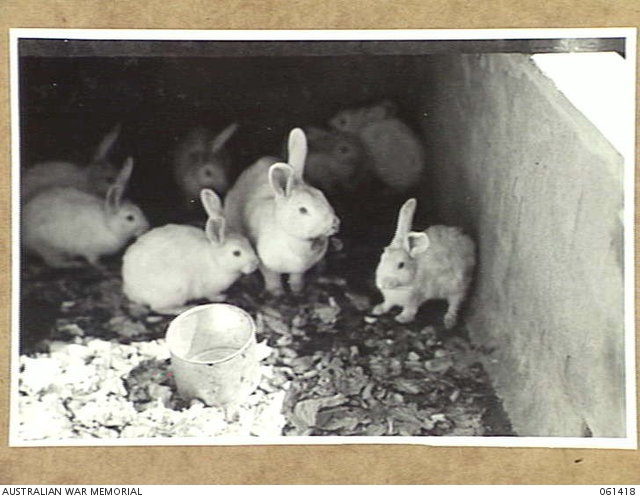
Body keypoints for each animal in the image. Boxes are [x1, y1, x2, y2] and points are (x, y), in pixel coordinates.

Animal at [21, 157, 150, 269]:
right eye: (130, 218)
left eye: (139, 210)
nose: (146, 227)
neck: (108, 225)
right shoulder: (90, 250)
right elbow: (93, 260)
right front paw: (101, 267)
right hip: (48, 247)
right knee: (54, 262)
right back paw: (74, 264)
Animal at [121, 189, 259, 315]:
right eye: (236, 253)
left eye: (248, 242)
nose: (255, 264)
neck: (216, 260)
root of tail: (131, 290)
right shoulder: (209, 288)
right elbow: (211, 295)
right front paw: (221, 297)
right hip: (175, 290)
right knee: (158, 308)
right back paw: (183, 308)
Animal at [224, 128, 340, 296]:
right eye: (302, 210)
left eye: (323, 196)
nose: (334, 224)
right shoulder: (265, 262)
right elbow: (271, 276)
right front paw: (276, 292)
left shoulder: (300, 269)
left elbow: (297, 277)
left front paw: (297, 290)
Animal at [372, 198, 476, 328]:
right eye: (382, 258)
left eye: (401, 265)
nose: (382, 284)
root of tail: (467, 241)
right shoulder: (390, 299)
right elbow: (387, 303)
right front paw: (378, 309)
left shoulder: (416, 298)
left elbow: (410, 309)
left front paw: (402, 318)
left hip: (458, 286)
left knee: (455, 304)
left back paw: (449, 321)